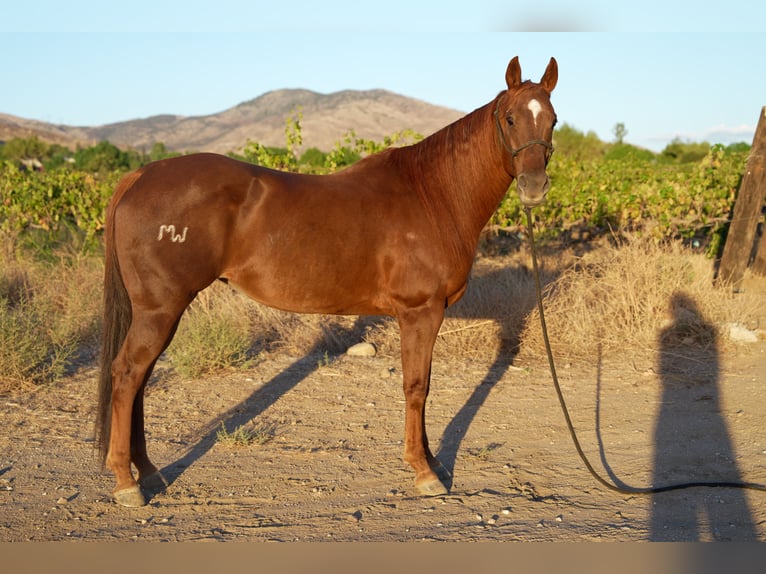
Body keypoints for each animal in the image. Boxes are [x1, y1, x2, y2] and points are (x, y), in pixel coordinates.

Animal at [96, 56, 558, 507]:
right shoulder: (420, 313)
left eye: (552, 120)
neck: (433, 194)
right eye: (511, 118)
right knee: (128, 374)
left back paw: (148, 471)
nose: (535, 187)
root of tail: (140, 176)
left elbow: (421, 387)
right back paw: (126, 482)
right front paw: (425, 472)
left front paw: (432, 462)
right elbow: (416, 387)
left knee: (139, 381)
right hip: (161, 309)